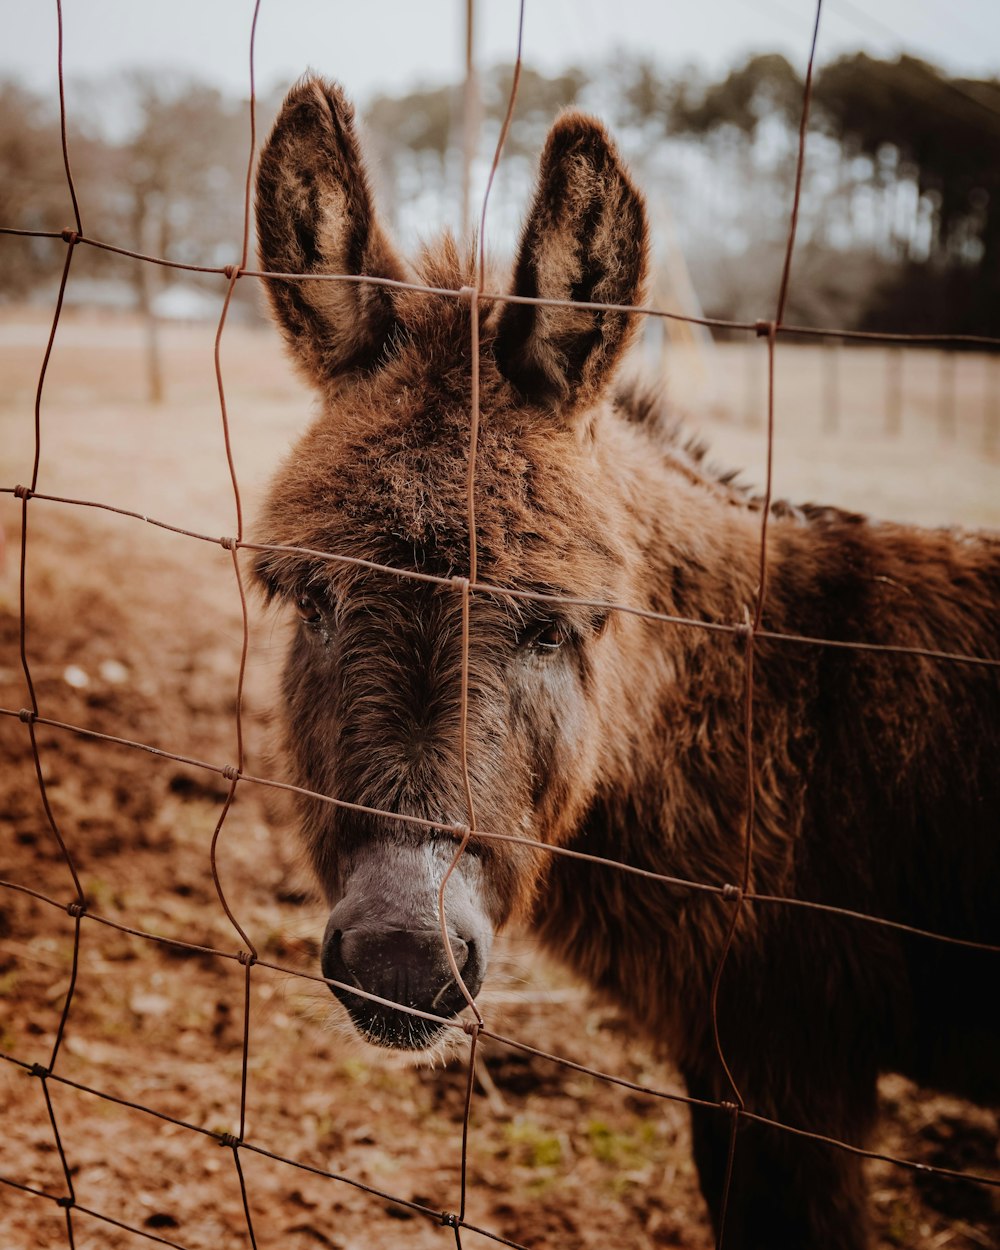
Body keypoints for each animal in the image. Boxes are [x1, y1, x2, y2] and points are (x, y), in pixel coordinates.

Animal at [252, 78, 1000, 1250]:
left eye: (553, 626)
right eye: (310, 598)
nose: (400, 962)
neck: (777, 708)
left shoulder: (795, 1064)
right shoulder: (733, 1068)